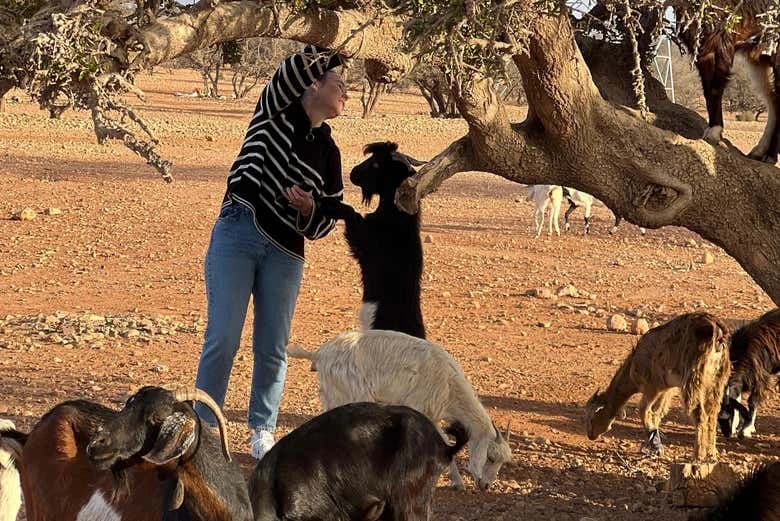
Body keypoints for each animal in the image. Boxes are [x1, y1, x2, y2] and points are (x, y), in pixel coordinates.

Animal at [288, 329, 513, 491]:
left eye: (503, 461)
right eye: (491, 458)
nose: (486, 486)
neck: (450, 388)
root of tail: (318, 354)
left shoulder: (432, 414)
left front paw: (456, 482)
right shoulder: (419, 407)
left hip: (333, 395)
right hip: (350, 393)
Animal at [318, 141, 426, 339]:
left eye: (376, 163)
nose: (352, 173)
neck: (395, 220)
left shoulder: (364, 244)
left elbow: (351, 213)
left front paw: (327, 204)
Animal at [584, 312, 730, 462]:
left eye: (591, 418)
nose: (590, 435)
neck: (632, 368)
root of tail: (718, 333)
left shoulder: (652, 386)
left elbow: (644, 410)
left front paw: (654, 443)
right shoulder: (666, 389)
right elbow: (657, 412)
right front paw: (654, 444)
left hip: (694, 377)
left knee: (699, 413)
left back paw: (698, 455)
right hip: (718, 380)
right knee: (712, 414)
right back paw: (712, 452)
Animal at [677, 1, 780, 163]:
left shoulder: (720, 40)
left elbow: (714, 89)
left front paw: (714, 132)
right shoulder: (703, 43)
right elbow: (708, 89)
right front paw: (713, 129)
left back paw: (770, 156)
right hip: (760, 57)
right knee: (773, 99)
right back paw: (759, 152)